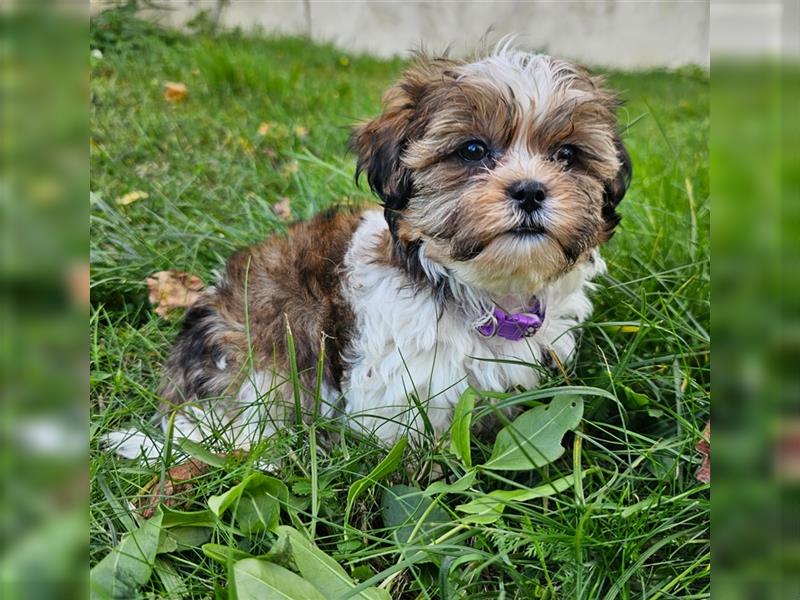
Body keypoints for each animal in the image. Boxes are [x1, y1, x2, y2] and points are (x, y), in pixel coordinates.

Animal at [106, 44, 632, 462]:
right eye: (472, 149)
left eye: (567, 155)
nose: (529, 190)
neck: (484, 293)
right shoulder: (397, 390)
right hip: (267, 354)